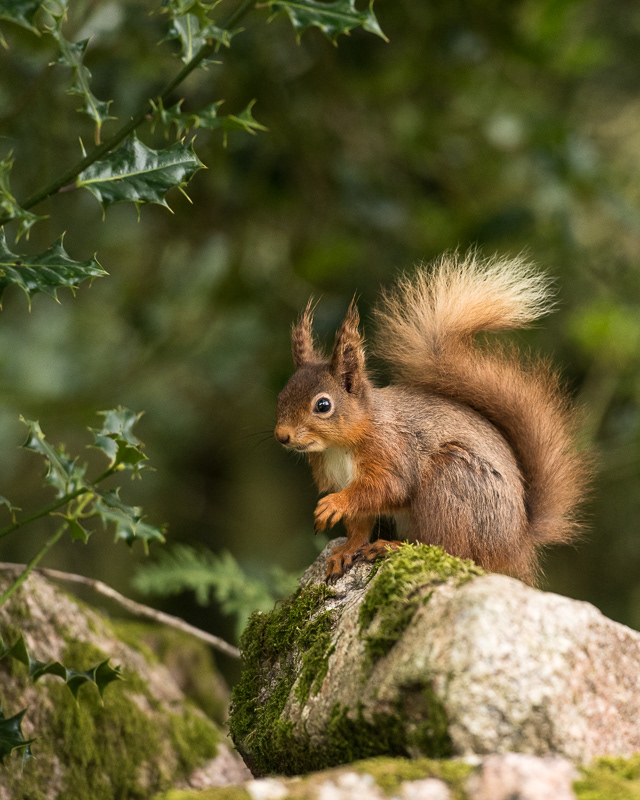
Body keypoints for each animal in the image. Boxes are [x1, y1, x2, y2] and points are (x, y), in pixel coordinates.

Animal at [274, 252, 589, 583]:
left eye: (323, 405)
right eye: (281, 396)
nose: (282, 435)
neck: (340, 445)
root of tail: (515, 545)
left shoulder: (391, 452)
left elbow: (388, 489)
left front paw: (334, 505)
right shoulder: (339, 477)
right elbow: (359, 525)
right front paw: (344, 551)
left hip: (448, 483)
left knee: (449, 548)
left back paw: (393, 546)